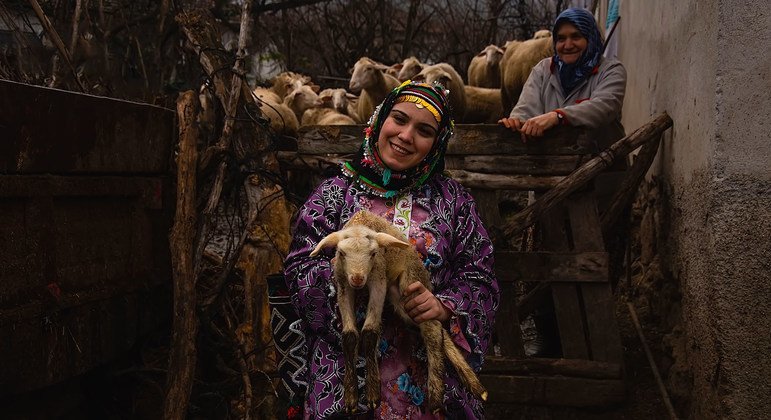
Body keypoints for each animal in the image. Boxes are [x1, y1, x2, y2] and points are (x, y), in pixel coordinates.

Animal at [310, 210, 486, 414]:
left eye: (373, 253)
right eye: (342, 253)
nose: (358, 278)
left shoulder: (379, 280)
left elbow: (369, 333)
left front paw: (372, 393)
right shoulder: (343, 285)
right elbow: (349, 336)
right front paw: (351, 396)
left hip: (412, 285)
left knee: (432, 329)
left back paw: (435, 396)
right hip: (400, 300)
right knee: (439, 330)